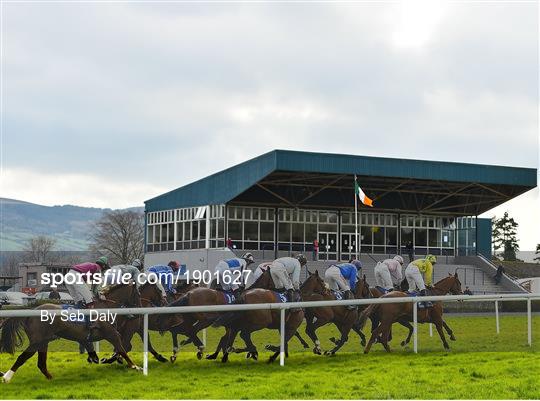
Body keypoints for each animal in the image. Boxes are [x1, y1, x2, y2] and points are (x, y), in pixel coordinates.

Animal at [0, 282, 142, 382]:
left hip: (44, 342)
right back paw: (6, 377)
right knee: (22, 357)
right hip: (38, 341)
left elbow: (117, 348)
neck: (106, 307)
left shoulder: (87, 337)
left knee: (41, 363)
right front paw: (135, 366)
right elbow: (122, 349)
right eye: (138, 294)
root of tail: (31, 311)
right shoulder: (111, 334)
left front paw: (100, 358)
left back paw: (50, 378)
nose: (139, 311)